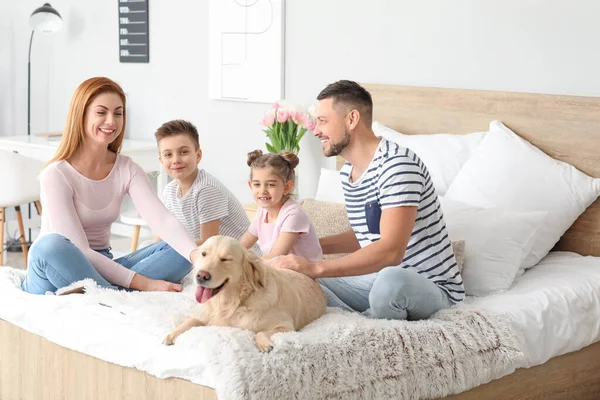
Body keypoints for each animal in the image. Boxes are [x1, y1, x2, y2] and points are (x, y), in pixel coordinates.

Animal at [162, 236, 326, 352]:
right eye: (203, 254)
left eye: (226, 259)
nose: (201, 276)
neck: (230, 303)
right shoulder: (205, 316)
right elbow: (189, 321)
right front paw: (171, 334)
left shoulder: (285, 326)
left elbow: (260, 332)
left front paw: (264, 344)